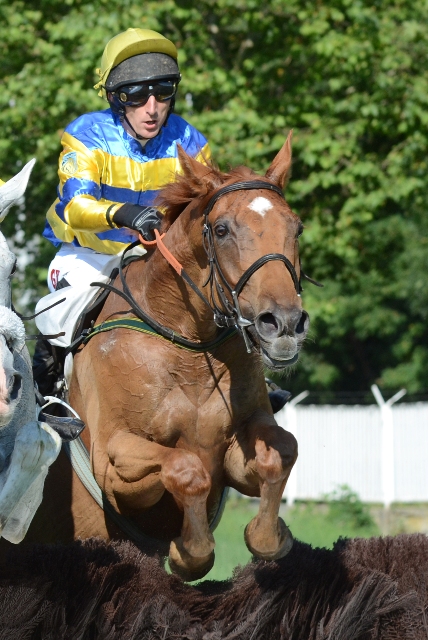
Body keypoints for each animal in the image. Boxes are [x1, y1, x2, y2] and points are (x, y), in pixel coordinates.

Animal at [21, 132, 310, 584]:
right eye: (222, 230)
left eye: (296, 227)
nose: (283, 324)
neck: (187, 344)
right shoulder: (111, 458)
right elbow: (185, 469)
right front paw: (189, 553)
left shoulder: (234, 448)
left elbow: (279, 451)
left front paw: (269, 537)